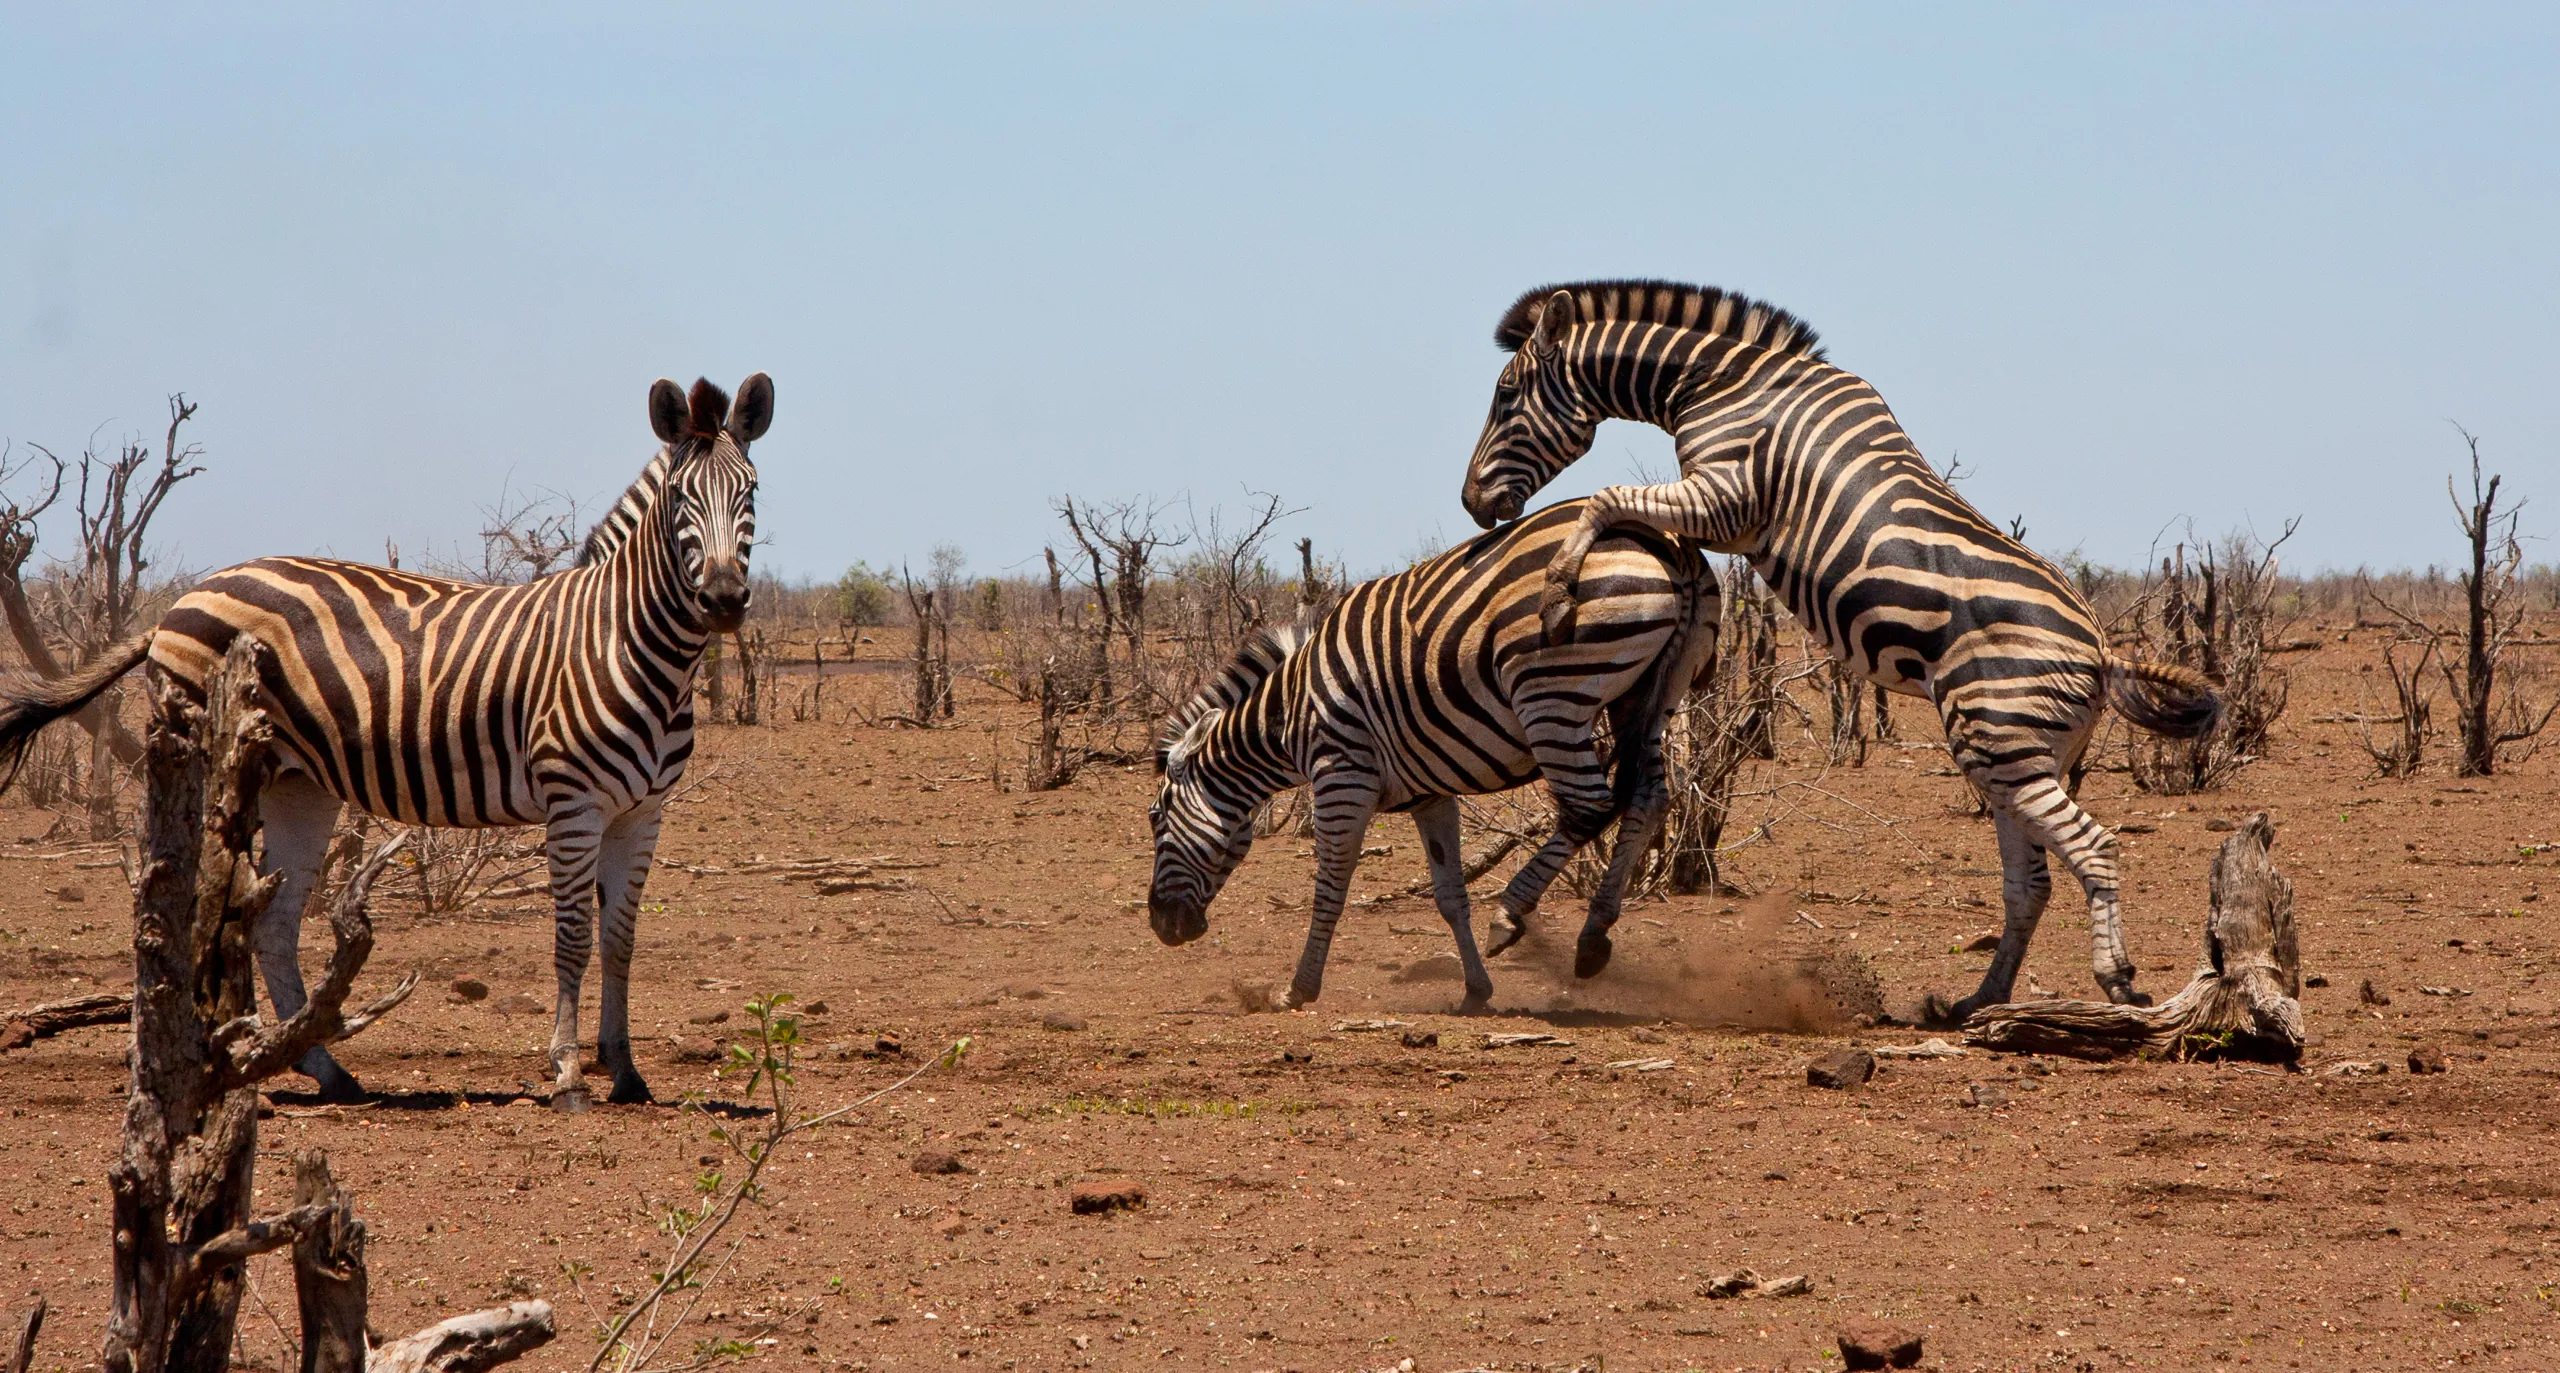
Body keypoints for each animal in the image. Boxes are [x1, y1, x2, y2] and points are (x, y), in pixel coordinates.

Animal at [0, 373, 770, 1108]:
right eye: (680, 500)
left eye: (752, 491)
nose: (725, 600)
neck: (629, 642)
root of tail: (177, 604)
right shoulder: (573, 801)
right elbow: (575, 936)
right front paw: (569, 1076)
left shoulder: (643, 811)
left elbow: (621, 939)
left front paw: (627, 1072)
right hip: (205, 766)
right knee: (193, 906)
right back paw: (196, 1059)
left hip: (296, 785)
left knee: (274, 923)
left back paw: (322, 1067)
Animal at [1147, 498, 1720, 1010]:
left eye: (1157, 817)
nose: (1161, 926)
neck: (1290, 713)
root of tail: (1669, 545)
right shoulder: (1429, 795)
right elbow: (1449, 895)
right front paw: (1476, 992)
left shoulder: (1341, 776)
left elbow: (1330, 886)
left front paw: (1297, 990)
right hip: (1652, 693)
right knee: (1649, 798)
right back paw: (1594, 935)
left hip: (1552, 693)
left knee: (1589, 806)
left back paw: (1512, 914)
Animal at [1459, 279, 2220, 1017]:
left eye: (1504, 394)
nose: (1471, 502)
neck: (1720, 381)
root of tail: (2102, 652)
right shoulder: (1717, 506)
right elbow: (1621, 505)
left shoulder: (1726, 498)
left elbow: (1607, 496)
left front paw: (1559, 589)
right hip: (2022, 753)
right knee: (2029, 883)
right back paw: (1981, 999)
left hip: (2000, 737)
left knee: (2093, 848)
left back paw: (2116, 980)